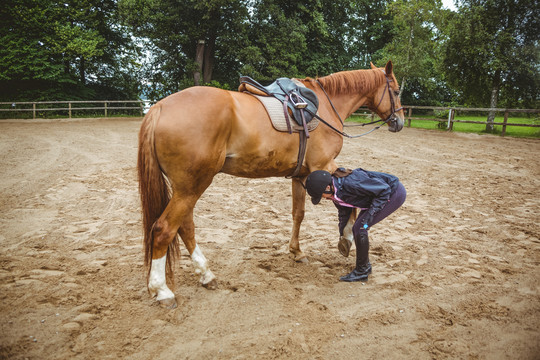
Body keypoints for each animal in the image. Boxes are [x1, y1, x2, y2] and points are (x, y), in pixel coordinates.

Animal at [137, 60, 402, 308]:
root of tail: (159, 107)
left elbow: (298, 214)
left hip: (187, 188)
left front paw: (296, 251)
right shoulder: (324, 166)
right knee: (164, 229)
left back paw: (206, 274)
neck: (326, 107)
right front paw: (346, 239)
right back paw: (162, 290)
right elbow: (349, 203)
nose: (398, 122)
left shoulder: (302, 176)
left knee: (185, 227)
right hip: (191, 187)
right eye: (397, 91)